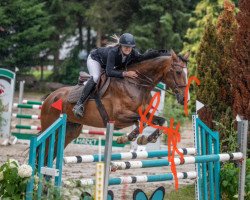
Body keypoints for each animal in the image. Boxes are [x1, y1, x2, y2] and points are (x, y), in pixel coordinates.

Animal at [40, 50, 189, 154]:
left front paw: (148, 138)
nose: (184, 99)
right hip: (50, 124)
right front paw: (127, 138)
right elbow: (142, 121)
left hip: (71, 130)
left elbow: (159, 120)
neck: (136, 84)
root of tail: (50, 96)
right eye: (178, 72)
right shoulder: (119, 116)